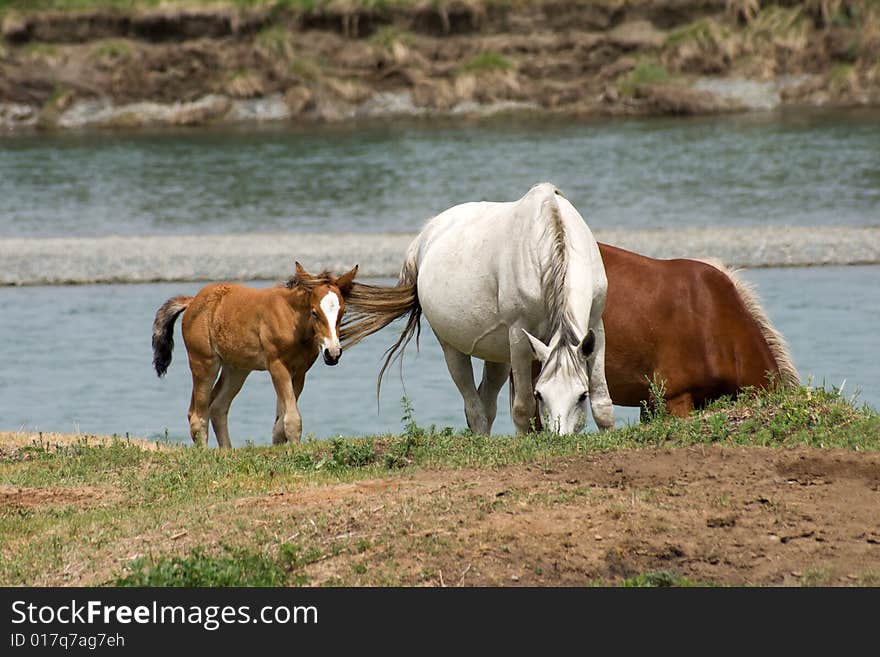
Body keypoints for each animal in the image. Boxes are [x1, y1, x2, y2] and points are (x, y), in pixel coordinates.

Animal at [344, 182, 612, 436]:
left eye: (582, 395)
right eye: (540, 394)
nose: (560, 436)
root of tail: (424, 237)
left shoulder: (595, 326)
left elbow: (603, 405)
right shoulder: (519, 336)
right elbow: (522, 408)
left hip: (499, 356)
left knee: (487, 403)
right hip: (453, 349)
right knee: (474, 408)